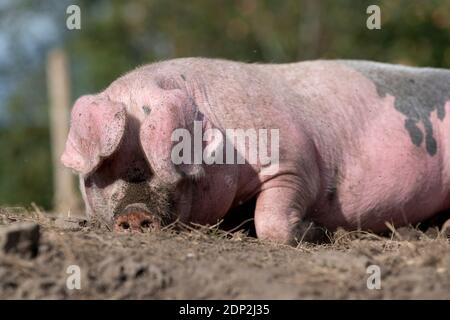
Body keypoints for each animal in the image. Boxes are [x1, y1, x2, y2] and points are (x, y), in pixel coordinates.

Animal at [61, 57, 450, 244]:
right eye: (101, 174)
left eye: (177, 171)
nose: (134, 214)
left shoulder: (295, 163)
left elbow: (271, 220)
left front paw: (320, 233)